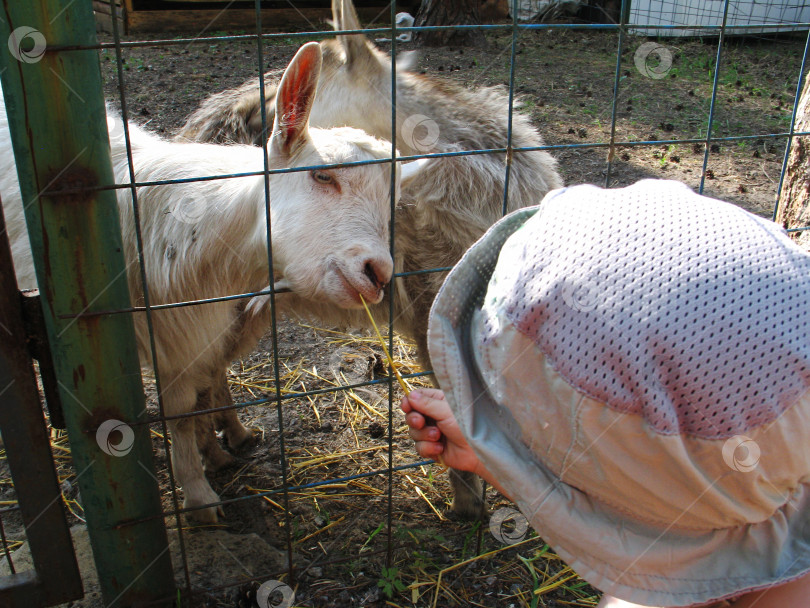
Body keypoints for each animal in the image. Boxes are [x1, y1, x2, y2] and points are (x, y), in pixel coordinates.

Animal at [0, 42, 426, 524]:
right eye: (322, 175)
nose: (378, 272)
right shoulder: (168, 336)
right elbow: (179, 413)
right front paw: (200, 499)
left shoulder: (194, 330)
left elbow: (193, 401)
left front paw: (210, 459)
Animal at [178, 1, 560, 524]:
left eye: (281, 100)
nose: (239, 125)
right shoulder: (432, 309)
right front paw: (469, 503)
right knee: (199, 374)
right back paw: (213, 460)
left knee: (209, 370)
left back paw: (231, 438)